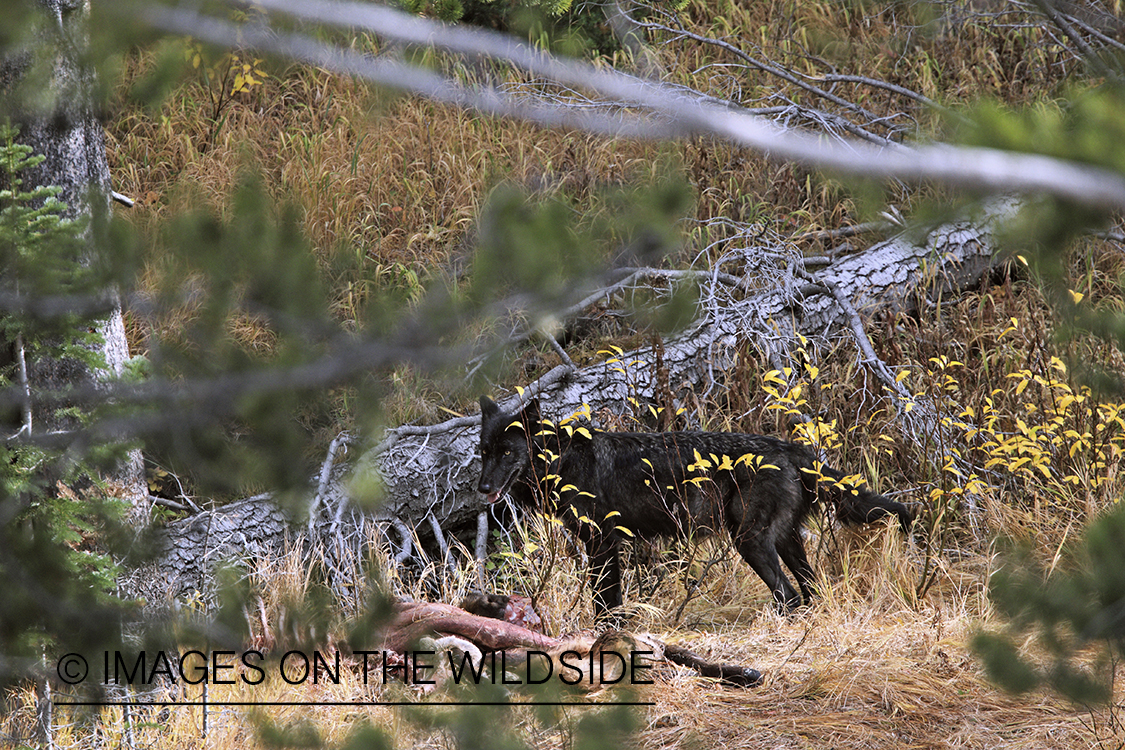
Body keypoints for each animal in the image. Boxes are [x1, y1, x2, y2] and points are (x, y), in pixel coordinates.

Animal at [477, 395, 913, 617]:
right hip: (784, 543)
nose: (482, 488)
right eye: (484, 452)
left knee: (788, 596)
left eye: (507, 453)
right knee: (810, 592)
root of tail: (791, 449)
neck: (561, 460)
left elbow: (605, 603)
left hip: (749, 542)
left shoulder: (602, 544)